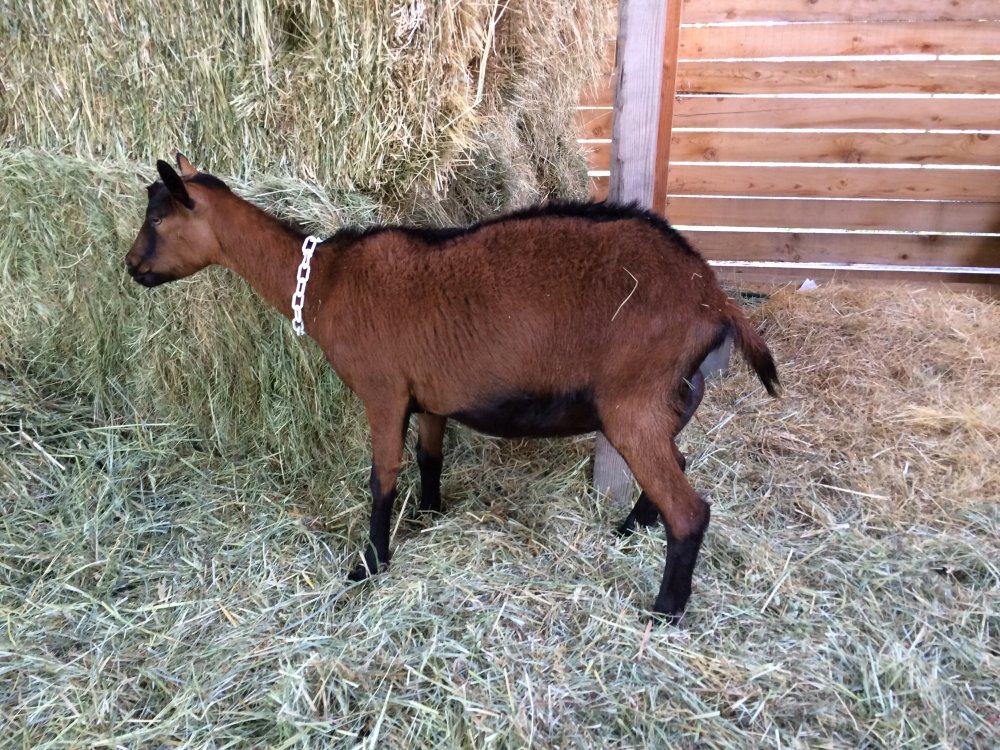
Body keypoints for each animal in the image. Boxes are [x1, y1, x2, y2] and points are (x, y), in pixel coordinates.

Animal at [125, 154, 779, 621]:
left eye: (157, 218)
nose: (132, 268)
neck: (328, 281)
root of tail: (711, 293)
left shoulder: (384, 391)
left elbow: (382, 477)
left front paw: (370, 563)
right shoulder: (431, 396)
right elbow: (429, 457)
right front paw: (431, 514)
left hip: (632, 401)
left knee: (690, 509)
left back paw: (664, 610)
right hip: (670, 393)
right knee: (677, 467)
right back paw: (626, 532)